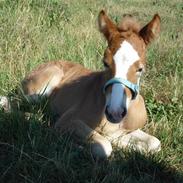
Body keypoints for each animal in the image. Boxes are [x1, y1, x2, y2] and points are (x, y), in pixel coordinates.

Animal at [1, 10, 162, 158]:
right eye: (105, 63)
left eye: (140, 69)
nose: (114, 112)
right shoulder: (69, 120)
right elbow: (104, 146)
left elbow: (154, 143)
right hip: (40, 89)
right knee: (11, 101)